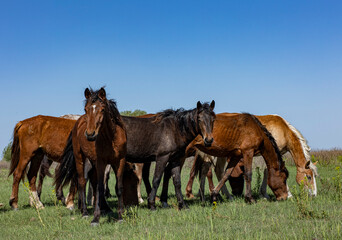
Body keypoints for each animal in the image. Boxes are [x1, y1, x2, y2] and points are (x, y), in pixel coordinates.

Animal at [184, 113, 318, 200]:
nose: (314, 194)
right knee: (212, 170)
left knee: (209, 170)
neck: (283, 130)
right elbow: (265, 171)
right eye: (308, 177)